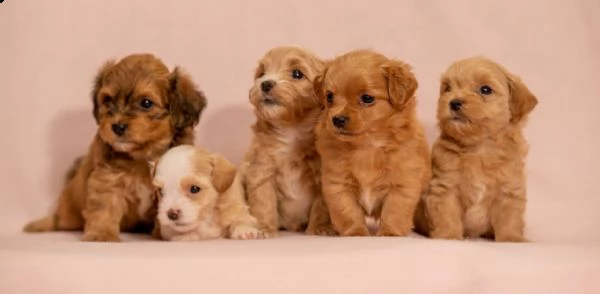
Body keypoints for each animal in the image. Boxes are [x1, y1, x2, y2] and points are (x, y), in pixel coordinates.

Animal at [24, 52, 206, 241]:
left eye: (146, 103)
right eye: (108, 100)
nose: (117, 126)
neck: (142, 157)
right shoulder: (107, 180)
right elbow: (105, 208)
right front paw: (101, 234)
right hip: (68, 211)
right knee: (59, 220)